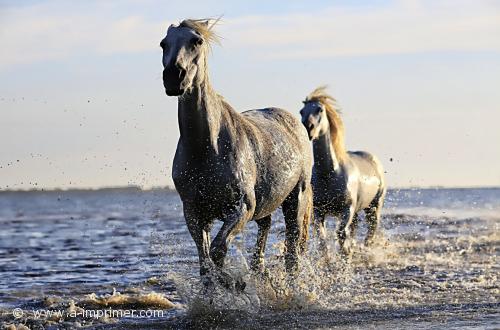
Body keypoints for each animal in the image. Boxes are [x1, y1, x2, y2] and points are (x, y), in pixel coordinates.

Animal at [298, 86, 384, 256]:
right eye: (301, 111)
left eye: (320, 109)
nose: (308, 128)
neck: (329, 173)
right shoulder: (319, 211)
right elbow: (322, 239)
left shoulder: (346, 210)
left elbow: (341, 235)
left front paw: (345, 255)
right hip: (358, 211)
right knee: (355, 229)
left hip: (374, 206)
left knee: (371, 231)